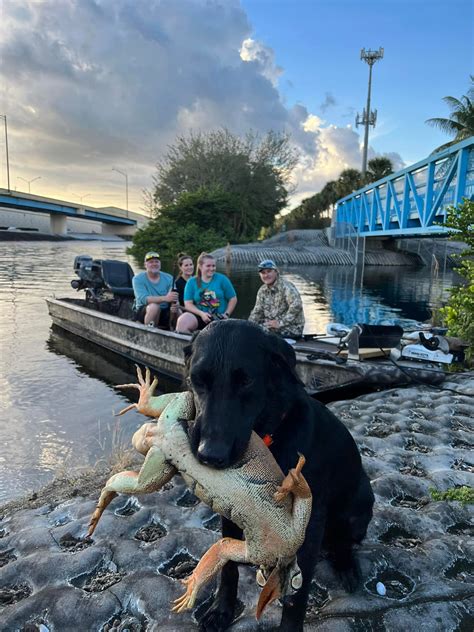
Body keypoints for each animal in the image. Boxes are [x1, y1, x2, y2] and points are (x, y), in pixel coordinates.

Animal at [185, 320, 374, 632]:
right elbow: (228, 568)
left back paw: (346, 565)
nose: (210, 455)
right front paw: (221, 610)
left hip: (359, 508)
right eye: (197, 379)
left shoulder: (309, 522)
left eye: (246, 381)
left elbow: (297, 595)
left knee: (343, 541)